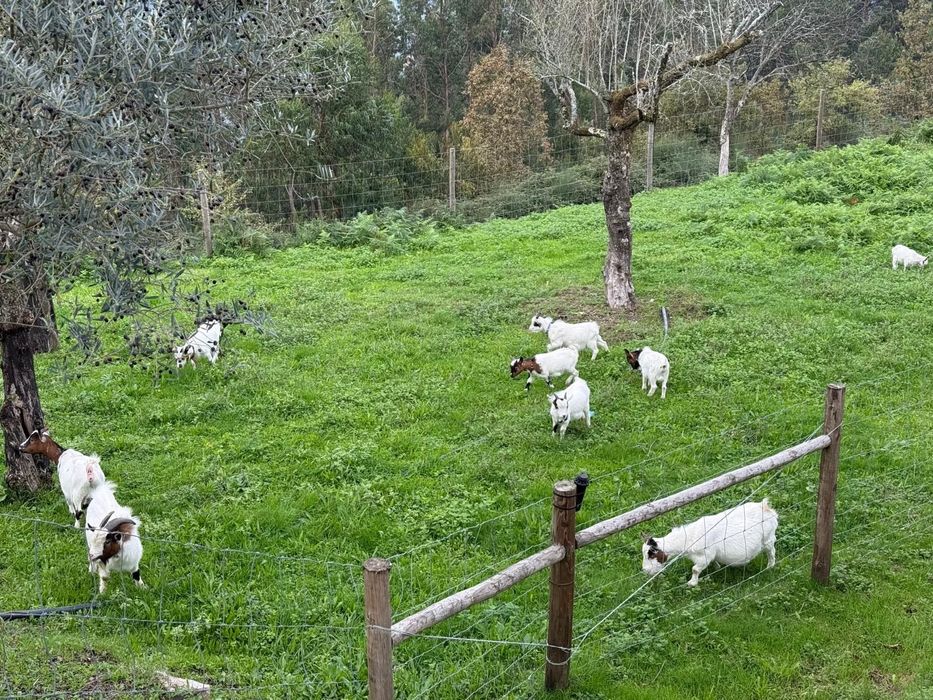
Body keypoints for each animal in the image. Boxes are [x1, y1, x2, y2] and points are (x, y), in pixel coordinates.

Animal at [642, 499, 778, 587]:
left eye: (651, 554)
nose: (645, 570)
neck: (689, 538)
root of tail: (765, 507)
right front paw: (717, 567)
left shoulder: (704, 556)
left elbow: (695, 569)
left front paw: (692, 583)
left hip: (768, 539)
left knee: (771, 552)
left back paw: (769, 567)